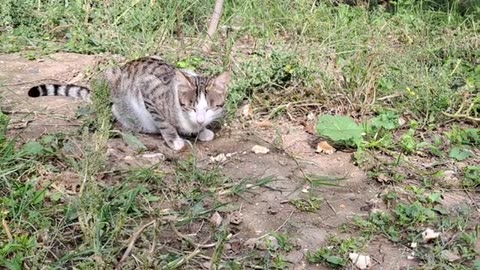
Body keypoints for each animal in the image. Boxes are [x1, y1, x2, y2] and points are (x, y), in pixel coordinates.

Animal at [27, 56, 231, 151]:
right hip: (115, 83)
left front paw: (202, 131)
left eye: (210, 108)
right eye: (191, 107)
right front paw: (175, 140)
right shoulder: (148, 88)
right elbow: (164, 122)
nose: (200, 120)